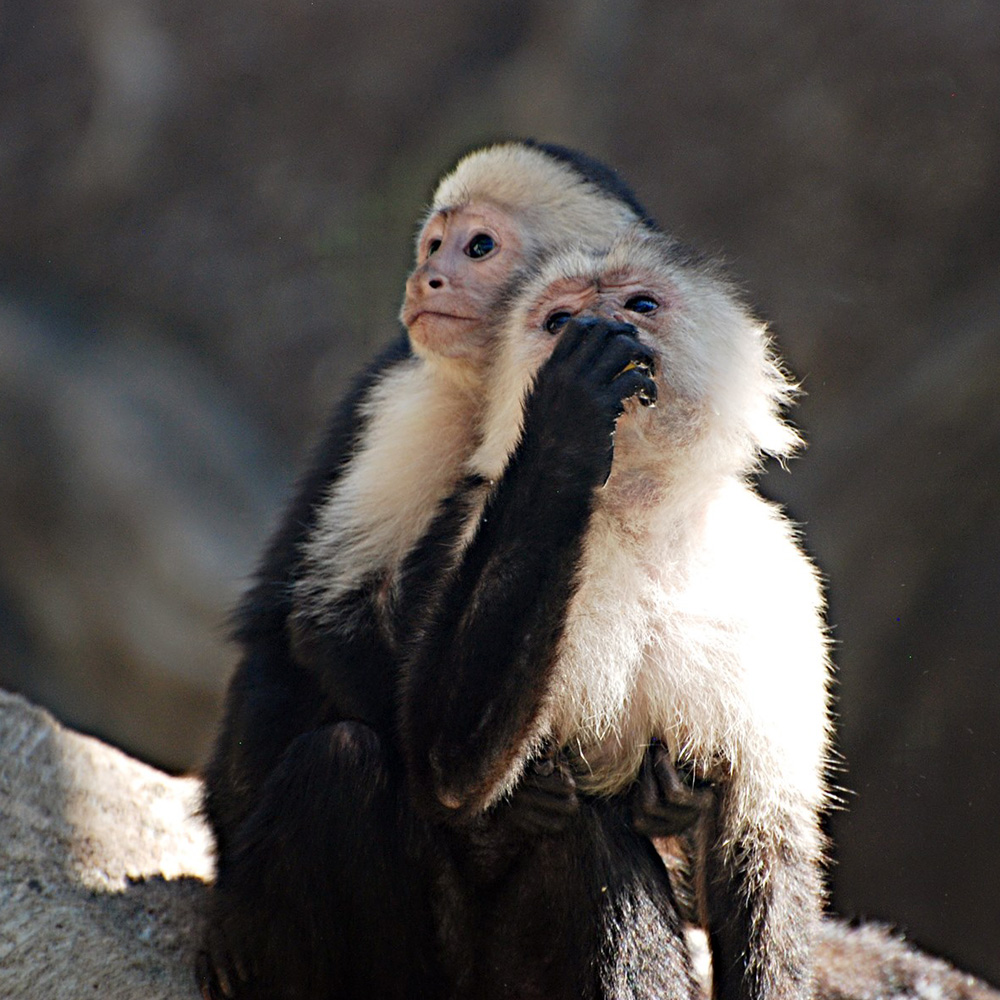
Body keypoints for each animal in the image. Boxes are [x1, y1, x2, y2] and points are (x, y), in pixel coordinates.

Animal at [199, 142, 703, 1000]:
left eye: (477, 248)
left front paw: (666, 802)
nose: (425, 279)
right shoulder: (417, 389)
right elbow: (335, 617)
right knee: (322, 730)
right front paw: (516, 798)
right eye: (434, 245)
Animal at [396, 224, 831, 1000]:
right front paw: (565, 424)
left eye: (642, 303)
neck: (637, 515)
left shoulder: (779, 580)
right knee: (580, 839)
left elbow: (766, 843)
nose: (604, 325)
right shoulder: (463, 520)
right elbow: (443, 770)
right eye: (559, 320)